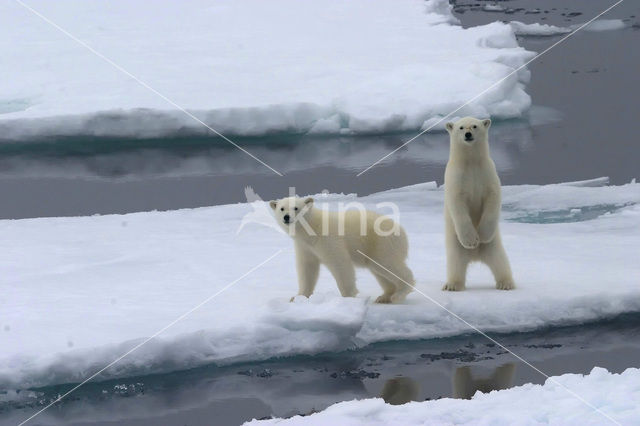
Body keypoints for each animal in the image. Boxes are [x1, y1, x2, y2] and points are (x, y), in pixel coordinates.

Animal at [268, 198, 416, 304]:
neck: (312, 228)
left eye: (296, 208)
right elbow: (307, 268)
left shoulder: (328, 239)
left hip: (381, 243)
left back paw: (399, 294)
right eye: (281, 208)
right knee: (378, 270)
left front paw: (349, 297)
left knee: (387, 264)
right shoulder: (305, 246)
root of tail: (401, 230)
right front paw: (298, 297)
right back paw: (384, 297)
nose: (287, 217)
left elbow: (340, 263)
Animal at [444, 115, 516, 292]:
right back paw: (452, 285)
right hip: (455, 245)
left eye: (475, 126)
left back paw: (506, 283)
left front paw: (482, 235)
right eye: (461, 127)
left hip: (493, 246)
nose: (468, 134)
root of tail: (475, 257)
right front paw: (471, 240)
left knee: (500, 261)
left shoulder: (488, 174)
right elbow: (457, 204)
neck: (471, 163)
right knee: (455, 264)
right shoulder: (456, 178)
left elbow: (493, 198)